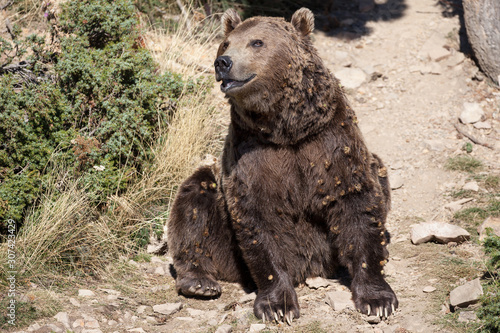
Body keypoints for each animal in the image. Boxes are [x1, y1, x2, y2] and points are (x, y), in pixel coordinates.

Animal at [168, 7, 398, 322]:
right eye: (226, 43)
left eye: (257, 42)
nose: (223, 63)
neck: (286, 128)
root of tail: (311, 268)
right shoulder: (251, 153)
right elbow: (257, 219)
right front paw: (278, 305)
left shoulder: (330, 142)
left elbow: (358, 202)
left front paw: (377, 298)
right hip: (222, 239)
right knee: (194, 200)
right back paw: (199, 281)